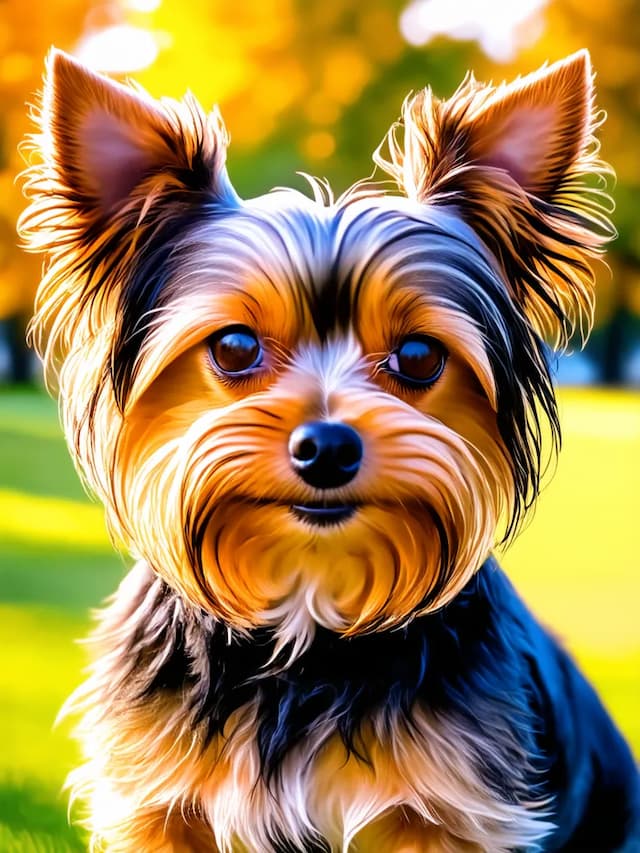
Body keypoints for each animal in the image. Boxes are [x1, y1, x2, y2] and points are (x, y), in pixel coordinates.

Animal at [20, 50, 640, 848]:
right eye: (235, 347)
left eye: (418, 356)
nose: (327, 447)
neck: (306, 604)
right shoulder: (159, 804)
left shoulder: (450, 812)